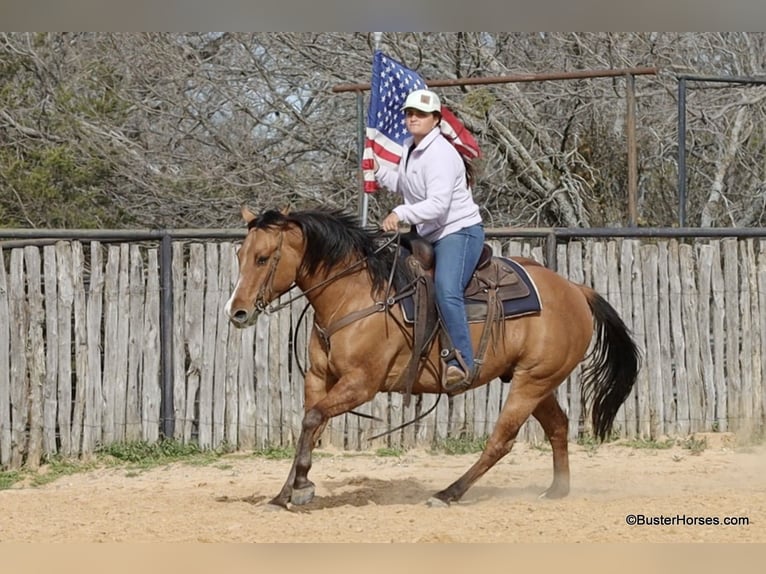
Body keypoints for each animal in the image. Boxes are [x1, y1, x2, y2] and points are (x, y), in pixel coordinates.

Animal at [225, 206, 640, 509]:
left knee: (501, 441)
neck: (354, 294)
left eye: (263, 258)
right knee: (557, 427)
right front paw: (285, 493)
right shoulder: (318, 378)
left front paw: (300, 487)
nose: (237, 312)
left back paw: (448, 494)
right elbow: (309, 426)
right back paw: (557, 490)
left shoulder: (361, 384)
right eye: (240, 254)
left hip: (531, 382)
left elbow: (312, 420)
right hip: (537, 381)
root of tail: (575, 289)